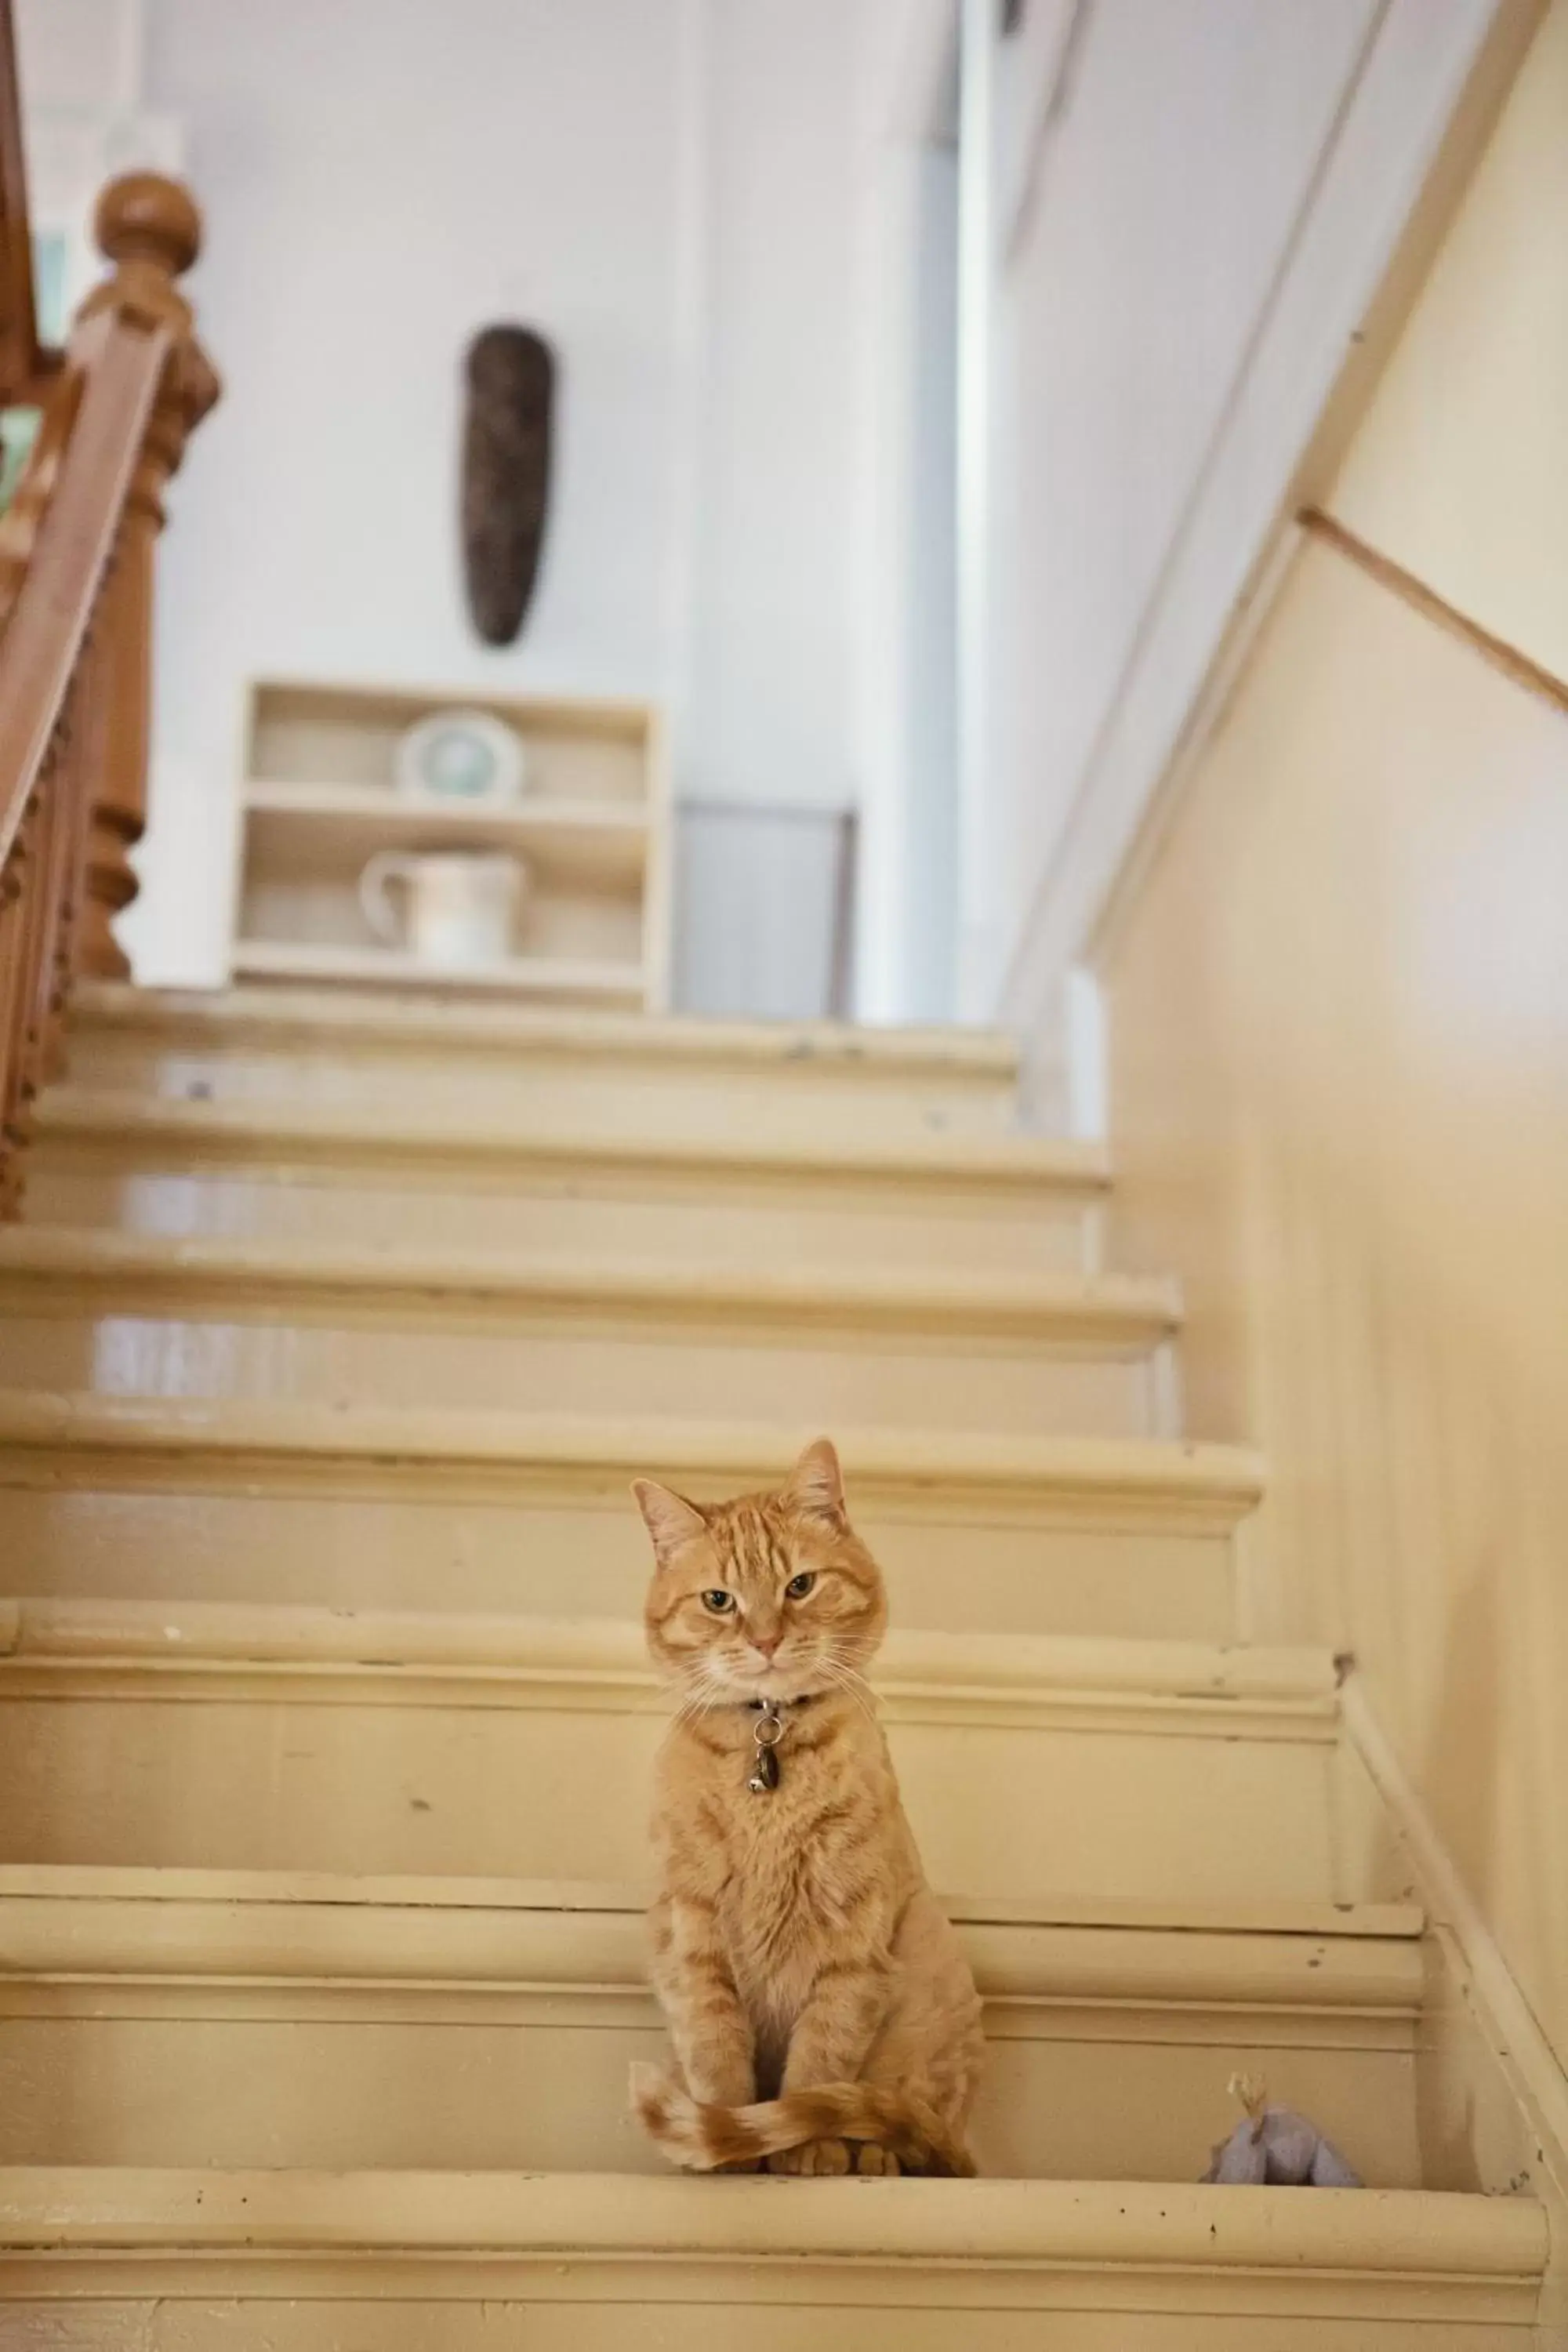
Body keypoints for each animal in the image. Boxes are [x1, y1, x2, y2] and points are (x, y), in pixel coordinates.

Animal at [625, 1439, 982, 2173]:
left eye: (800, 1586)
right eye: (719, 1600)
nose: (765, 1641)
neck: (769, 1737)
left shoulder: (852, 1943)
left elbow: (820, 2066)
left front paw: (809, 2147)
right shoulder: (692, 1935)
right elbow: (717, 2061)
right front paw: (727, 2154)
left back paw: (871, 2153)